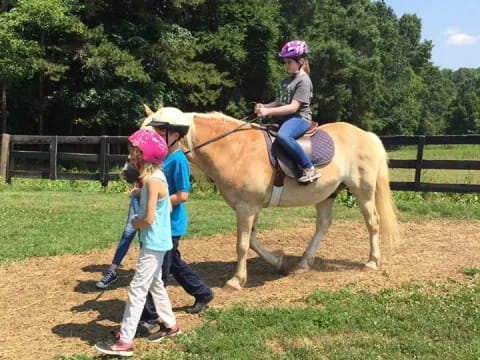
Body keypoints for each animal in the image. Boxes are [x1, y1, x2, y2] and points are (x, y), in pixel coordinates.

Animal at [140, 105, 402, 292]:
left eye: (157, 132)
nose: (135, 169)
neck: (234, 149)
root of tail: (366, 134)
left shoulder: (246, 208)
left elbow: (242, 244)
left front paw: (236, 281)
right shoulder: (249, 207)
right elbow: (253, 242)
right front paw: (280, 263)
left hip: (363, 191)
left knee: (372, 222)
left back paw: (371, 262)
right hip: (327, 194)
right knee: (323, 225)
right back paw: (302, 264)